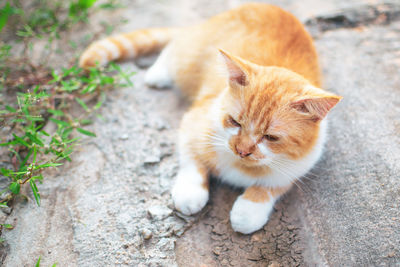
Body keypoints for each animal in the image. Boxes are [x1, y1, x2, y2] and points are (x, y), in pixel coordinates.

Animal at [79, 3, 342, 234]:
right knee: (174, 47)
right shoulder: (193, 123)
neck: (242, 166)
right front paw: (190, 192)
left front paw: (249, 210)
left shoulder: (299, 165)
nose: (242, 150)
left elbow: (271, 186)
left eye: (271, 137)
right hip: (189, 59)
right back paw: (158, 72)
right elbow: (192, 161)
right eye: (235, 122)